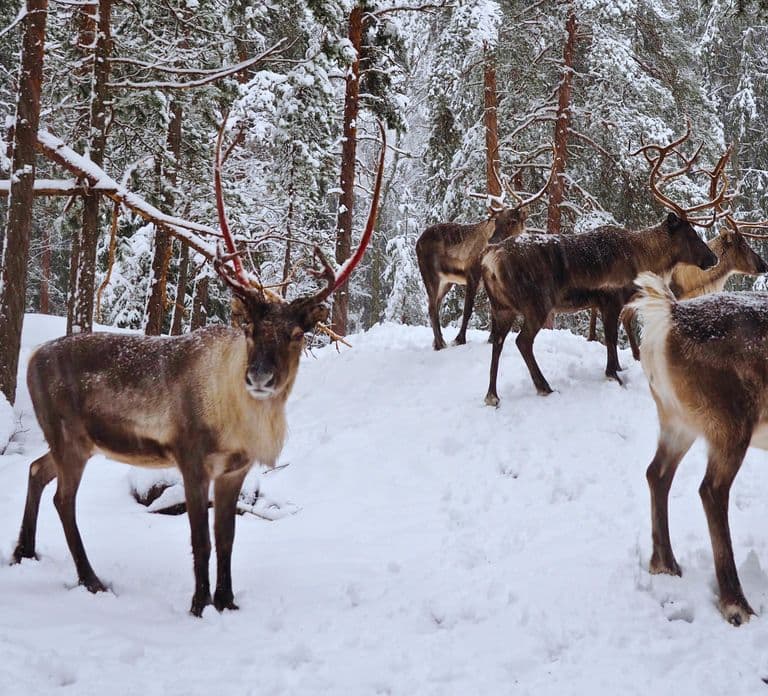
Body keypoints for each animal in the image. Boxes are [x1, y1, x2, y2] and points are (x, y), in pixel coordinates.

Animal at [10, 121, 386, 617]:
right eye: (250, 327)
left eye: (296, 333)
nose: (259, 377)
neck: (237, 416)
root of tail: (31, 358)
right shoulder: (190, 458)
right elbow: (200, 540)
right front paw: (198, 604)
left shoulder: (234, 470)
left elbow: (227, 539)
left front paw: (227, 602)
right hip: (69, 437)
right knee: (63, 498)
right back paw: (91, 580)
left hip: (76, 442)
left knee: (36, 470)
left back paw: (23, 552)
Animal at [416, 175, 550, 351]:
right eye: (496, 220)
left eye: (513, 221)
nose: (492, 241)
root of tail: (417, 242)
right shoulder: (472, 275)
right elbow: (467, 310)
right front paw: (460, 339)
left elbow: (493, 312)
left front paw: (492, 338)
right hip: (430, 274)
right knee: (432, 307)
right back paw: (440, 344)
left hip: (447, 281)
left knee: (436, 305)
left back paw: (438, 341)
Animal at [481, 124, 728, 407]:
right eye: (691, 234)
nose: (713, 258)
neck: (643, 258)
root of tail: (490, 261)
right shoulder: (611, 298)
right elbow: (610, 338)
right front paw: (614, 375)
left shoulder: (604, 303)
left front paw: (618, 368)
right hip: (537, 304)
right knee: (522, 341)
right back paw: (544, 387)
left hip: (501, 307)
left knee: (498, 341)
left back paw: (492, 395)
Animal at [632, 268, 768, 626]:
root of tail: (668, 316)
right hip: (730, 425)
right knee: (711, 489)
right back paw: (737, 604)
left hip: (678, 419)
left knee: (657, 473)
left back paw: (665, 563)